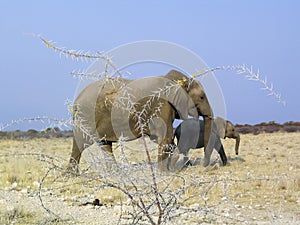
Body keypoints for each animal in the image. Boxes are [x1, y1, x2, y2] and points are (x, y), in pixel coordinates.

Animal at [68, 69, 213, 171]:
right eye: (201, 97)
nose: (203, 166)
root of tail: (76, 101)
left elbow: (164, 139)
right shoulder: (161, 105)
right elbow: (165, 138)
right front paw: (164, 172)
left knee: (105, 144)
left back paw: (114, 174)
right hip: (87, 116)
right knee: (81, 142)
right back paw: (73, 174)